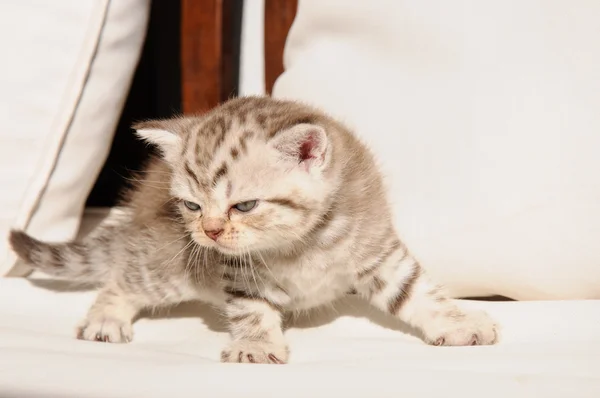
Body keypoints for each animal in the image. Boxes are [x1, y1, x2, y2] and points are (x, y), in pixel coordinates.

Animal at [9, 96, 500, 364]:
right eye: (192, 205)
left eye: (244, 205)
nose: (209, 232)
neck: (303, 242)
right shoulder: (236, 270)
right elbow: (251, 308)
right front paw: (257, 346)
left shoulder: (375, 247)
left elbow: (414, 290)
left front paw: (458, 323)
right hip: (167, 265)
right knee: (122, 278)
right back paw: (105, 318)